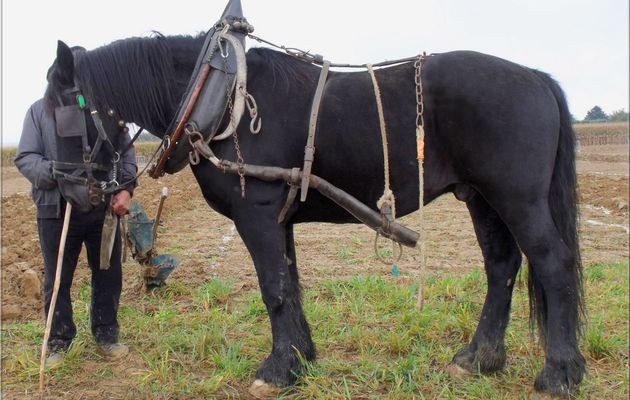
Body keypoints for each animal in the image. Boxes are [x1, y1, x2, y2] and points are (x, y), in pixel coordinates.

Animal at [48, 32, 588, 396]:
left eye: (60, 104)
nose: (65, 187)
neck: (220, 97)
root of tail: (536, 77)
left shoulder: (257, 214)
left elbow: (274, 289)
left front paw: (277, 371)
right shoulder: (278, 218)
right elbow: (290, 284)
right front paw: (300, 359)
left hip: (517, 197)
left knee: (552, 265)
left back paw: (559, 372)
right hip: (480, 197)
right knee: (502, 266)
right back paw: (479, 359)